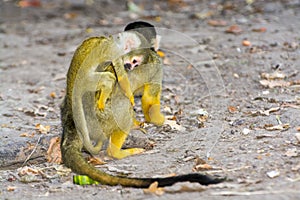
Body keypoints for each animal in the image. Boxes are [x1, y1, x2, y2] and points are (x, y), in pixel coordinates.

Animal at [60, 21, 225, 188]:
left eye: (134, 62)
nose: (129, 66)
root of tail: (73, 123)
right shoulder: (156, 65)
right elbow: (149, 101)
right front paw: (165, 121)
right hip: (103, 116)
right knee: (122, 105)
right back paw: (117, 151)